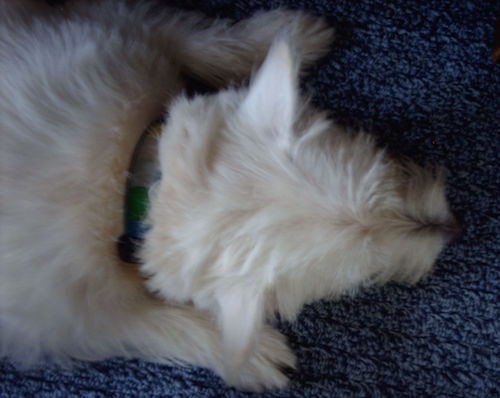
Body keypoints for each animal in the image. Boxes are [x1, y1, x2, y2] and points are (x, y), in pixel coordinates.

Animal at [0, 0, 460, 392]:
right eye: (363, 275)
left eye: (384, 173)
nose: (453, 229)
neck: (137, 179)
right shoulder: (65, 319)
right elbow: (147, 323)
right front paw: (253, 355)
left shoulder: (111, 27)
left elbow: (190, 39)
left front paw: (292, 33)